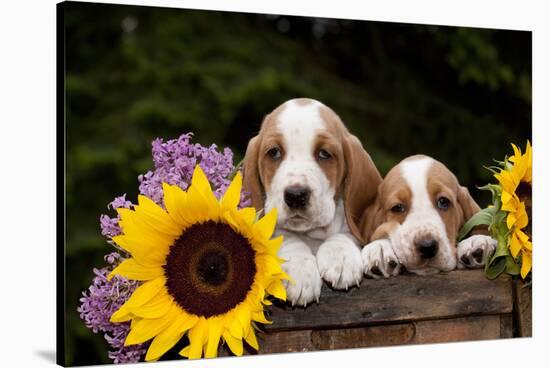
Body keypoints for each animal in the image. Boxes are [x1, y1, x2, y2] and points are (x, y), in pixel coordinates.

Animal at [246, 97, 384, 304]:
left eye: (324, 153)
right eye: (274, 152)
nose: (296, 195)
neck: (312, 234)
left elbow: (345, 233)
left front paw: (340, 257)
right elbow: (287, 238)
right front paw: (299, 270)